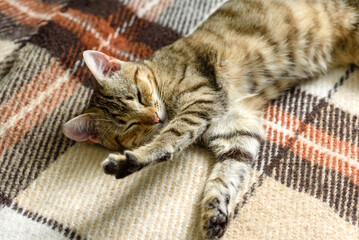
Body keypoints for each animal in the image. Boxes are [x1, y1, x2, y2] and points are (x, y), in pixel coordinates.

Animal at [63, 0, 359, 238]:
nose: (154, 118)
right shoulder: (237, 131)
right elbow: (224, 177)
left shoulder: (202, 101)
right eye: (129, 126)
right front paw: (213, 212)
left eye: (137, 96)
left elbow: (168, 140)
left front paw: (133, 159)